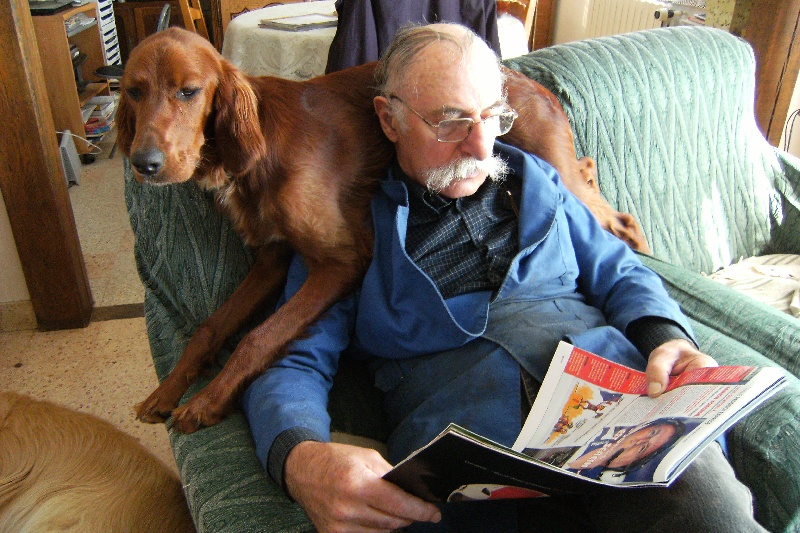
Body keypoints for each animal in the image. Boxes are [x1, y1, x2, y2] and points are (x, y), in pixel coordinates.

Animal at [115, 28, 648, 432]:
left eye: (189, 91)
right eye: (133, 91)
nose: (144, 163)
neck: (258, 146)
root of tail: (530, 82)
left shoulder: (342, 261)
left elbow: (258, 337)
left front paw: (205, 402)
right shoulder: (273, 257)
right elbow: (211, 326)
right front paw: (168, 390)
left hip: (552, 164)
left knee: (613, 214)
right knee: (591, 173)